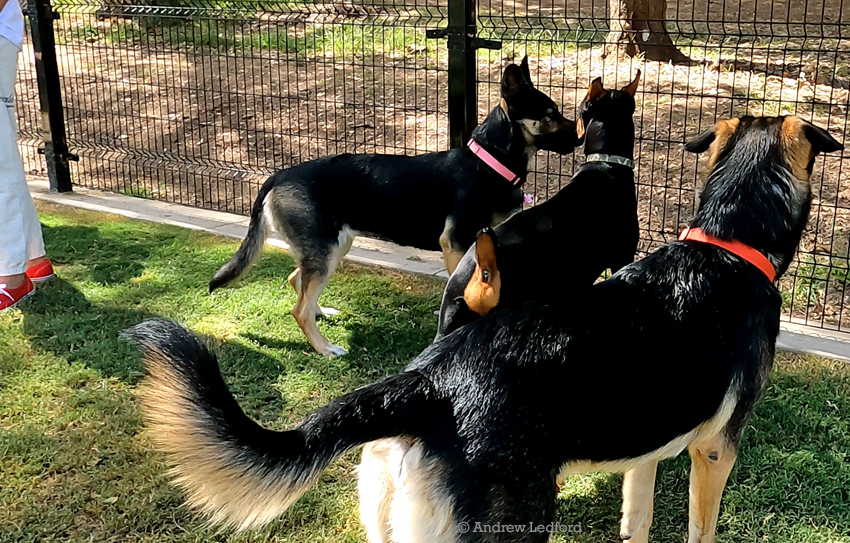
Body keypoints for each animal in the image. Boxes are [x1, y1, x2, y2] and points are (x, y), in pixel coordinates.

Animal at [129, 115, 840, 540]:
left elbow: (636, 523)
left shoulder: (648, 454)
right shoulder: (714, 450)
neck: (727, 241)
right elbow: (702, 527)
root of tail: (428, 382)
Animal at [206, 57, 580, 360]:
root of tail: (277, 176)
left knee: (297, 280)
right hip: (327, 250)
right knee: (300, 309)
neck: (488, 162)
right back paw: (324, 347)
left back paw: (322, 312)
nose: (579, 137)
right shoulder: (456, 243)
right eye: (550, 115)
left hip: (335, 246)